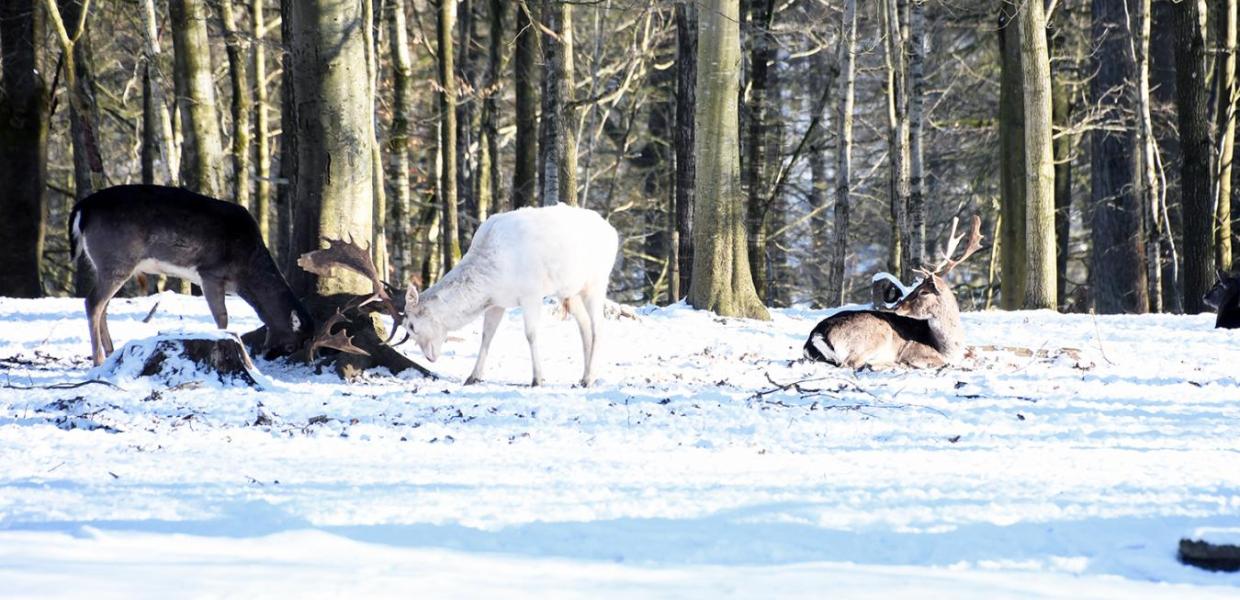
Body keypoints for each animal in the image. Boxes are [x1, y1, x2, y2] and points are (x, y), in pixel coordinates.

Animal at [399, 203, 617, 386]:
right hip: (570, 292)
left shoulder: (531, 294)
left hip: (596, 283)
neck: (492, 280)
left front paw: (537, 379)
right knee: (585, 325)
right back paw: (585, 376)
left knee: (599, 326)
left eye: (411, 326)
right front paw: (473, 376)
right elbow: (487, 336)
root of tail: (613, 232)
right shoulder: (497, 302)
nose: (429, 357)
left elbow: (530, 334)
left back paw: (589, 378)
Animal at [803, 213, 987, 366]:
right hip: (878, 334)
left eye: (923, 291)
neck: (949, 348)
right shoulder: (915, 351)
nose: (898, 306)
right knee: (851, 364)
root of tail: (816, 335)